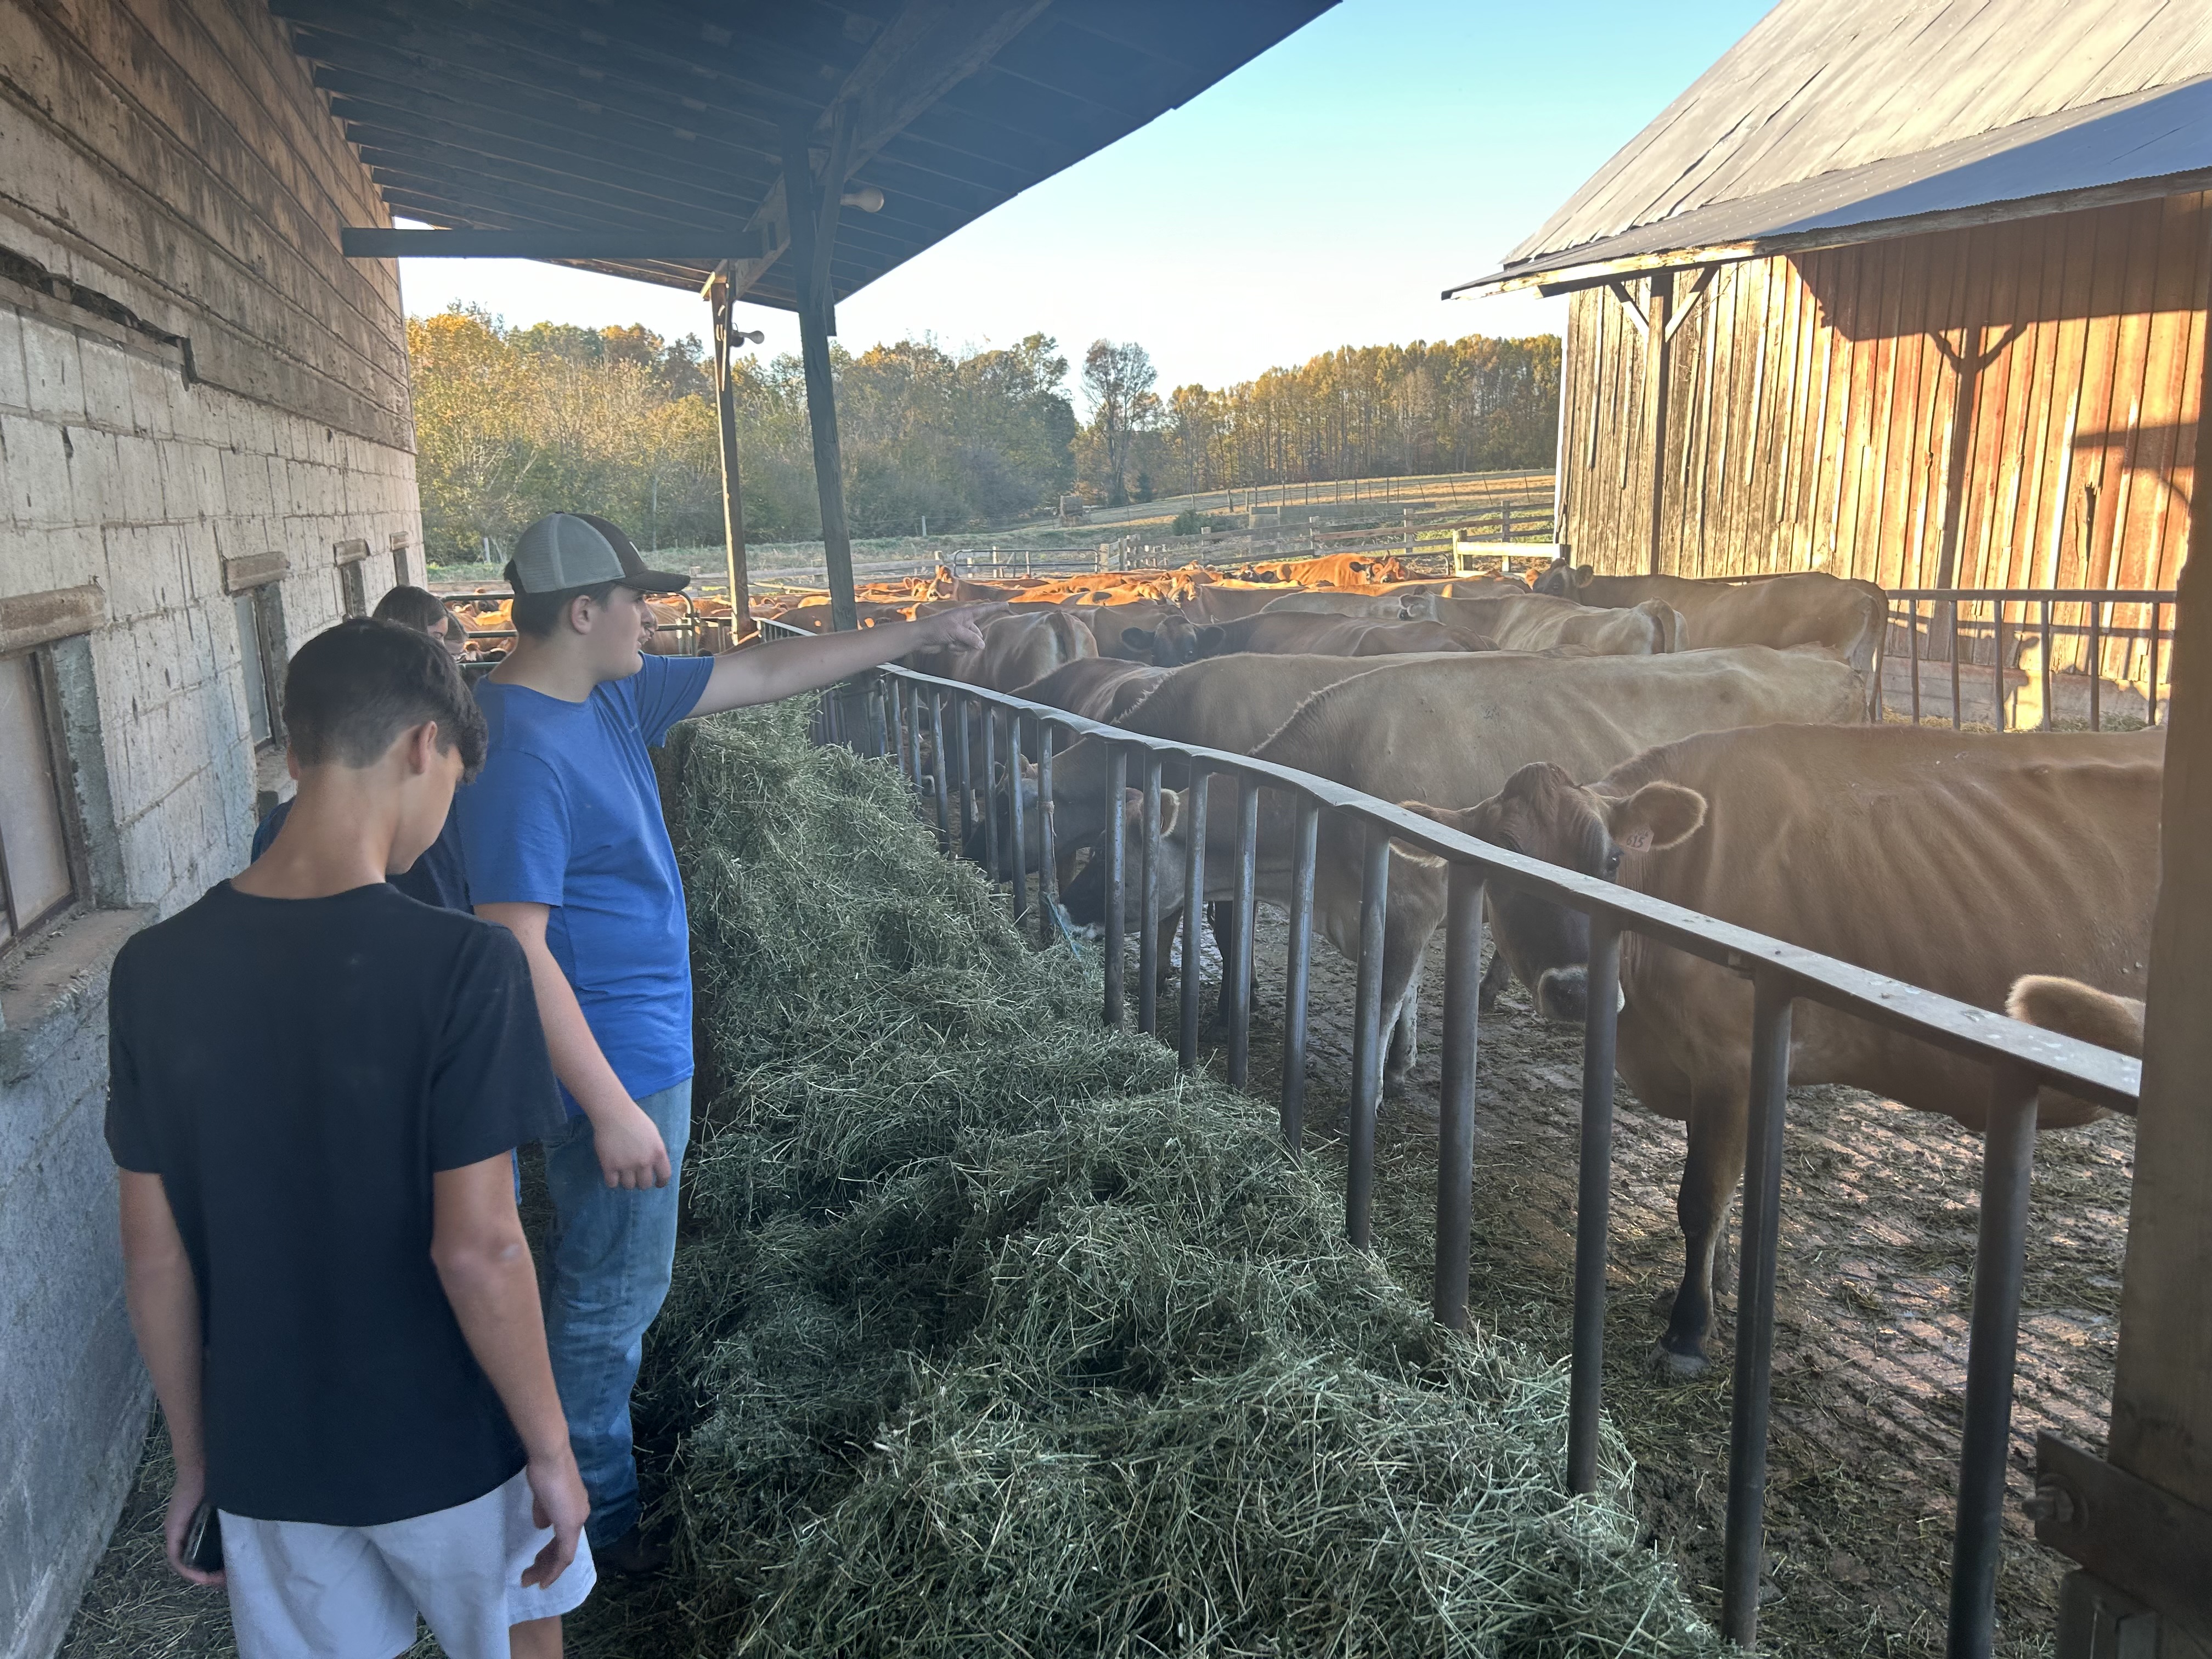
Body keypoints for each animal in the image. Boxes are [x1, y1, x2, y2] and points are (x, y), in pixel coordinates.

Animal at [1415, 725, 2159, 1380]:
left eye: (1611, 862)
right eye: (1505, 860)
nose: (1577, 988)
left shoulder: (1733, 1057)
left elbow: (1701, 1199)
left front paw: (1687, 1334)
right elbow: (1719, 1196)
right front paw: (1711, 1294)